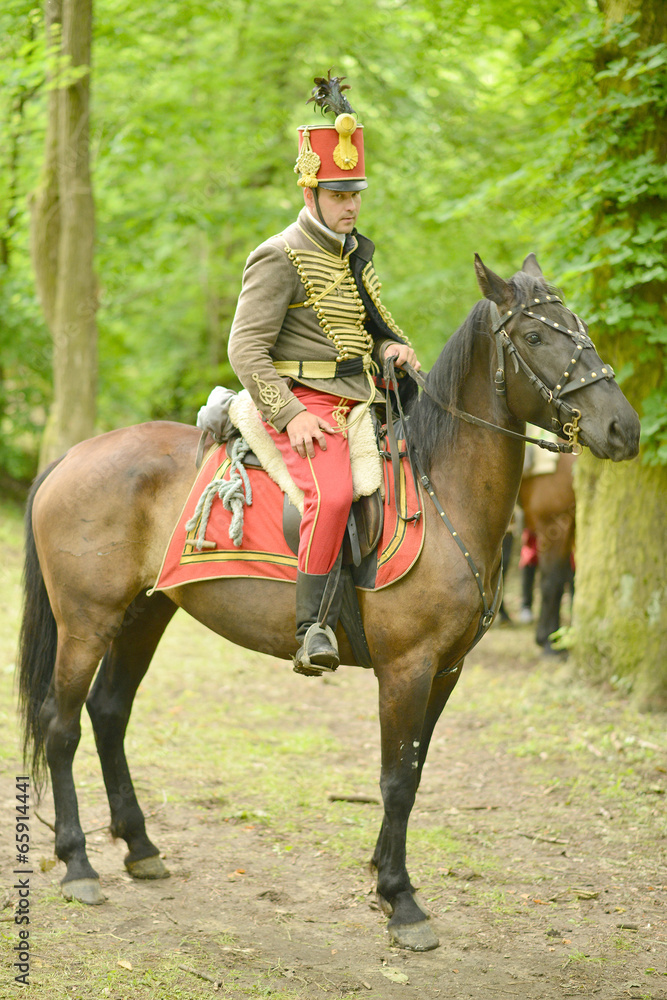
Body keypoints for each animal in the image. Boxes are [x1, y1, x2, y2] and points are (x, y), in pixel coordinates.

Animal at [520, 450, 576, 652]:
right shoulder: (553, 522)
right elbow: (552, 582)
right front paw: (548, 642)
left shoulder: (570, 525)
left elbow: (563, 578)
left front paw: (553, 636)